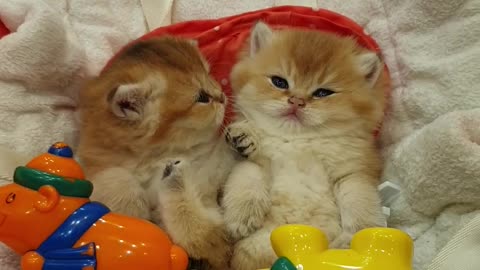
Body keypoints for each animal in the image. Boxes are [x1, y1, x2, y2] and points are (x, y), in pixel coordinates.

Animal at [77, 37, 234, 268]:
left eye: (210, 74)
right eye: (202, 97)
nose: (222, 95)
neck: (156, 157)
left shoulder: (218, 239)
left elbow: (199, 233)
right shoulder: (98, 161)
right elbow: (115, 177)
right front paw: (131, 211)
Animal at [223, 22, 388, 270]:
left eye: (323, 93)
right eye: (279, 82)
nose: (297, 101)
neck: (297, 141)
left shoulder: (353, 172)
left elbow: (358, 200)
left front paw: (359, 237)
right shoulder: (252, 162)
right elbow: (247, 178)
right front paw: (241, 217)